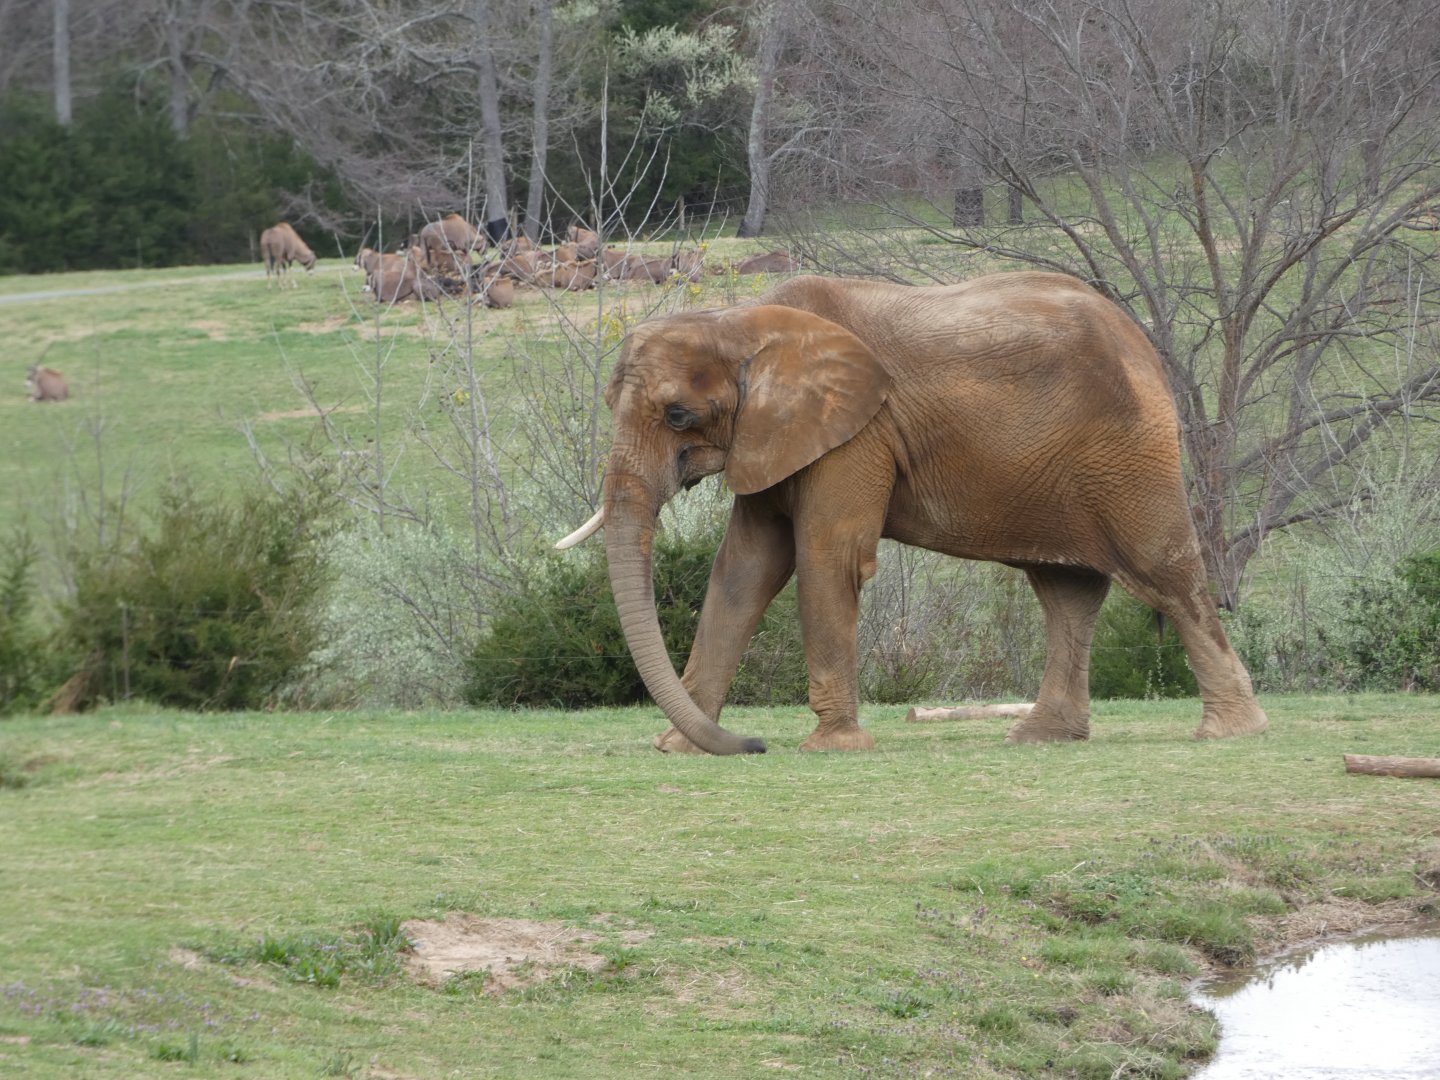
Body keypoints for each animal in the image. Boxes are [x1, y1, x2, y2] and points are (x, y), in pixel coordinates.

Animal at [560, 271, 1269, 755]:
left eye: (678, 415)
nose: (753, 742)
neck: (741, 322)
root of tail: (1142, 343)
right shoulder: (773, 436)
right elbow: (745, 568)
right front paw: (682, 748)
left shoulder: (857, 433)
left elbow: (827, 556)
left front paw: (833, 747)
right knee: (1066, 593)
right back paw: (1041, 736)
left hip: (1131, 456)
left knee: (1168, 574)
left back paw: (1230, 731)